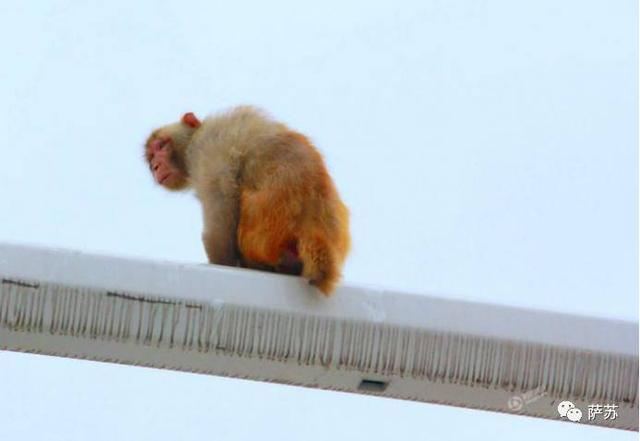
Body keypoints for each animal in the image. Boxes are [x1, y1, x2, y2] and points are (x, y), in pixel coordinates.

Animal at [144, 105, 350, 294]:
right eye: (151, 157)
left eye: (161, 146)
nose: (155, 166)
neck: (194, 138)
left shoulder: (206, 151)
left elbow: (221, 210)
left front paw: (222, 262)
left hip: (265, 231)